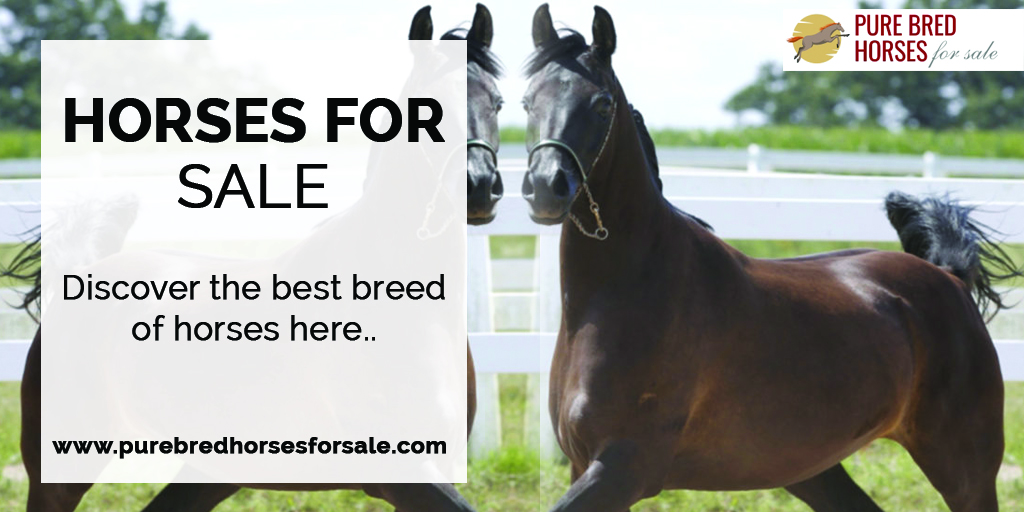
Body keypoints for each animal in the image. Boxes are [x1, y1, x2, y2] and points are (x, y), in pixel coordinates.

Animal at [6, 5, 503, 511]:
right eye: (426, 108)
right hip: (62, 466)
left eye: (498, 102)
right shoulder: (401, 472)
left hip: (209, 471)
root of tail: (81, 276)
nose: (479, 186)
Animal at [522, 4, 1020, 511]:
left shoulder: (623, 467)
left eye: (602, 103)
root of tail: (948, 277)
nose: (546, 187)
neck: (627, 288)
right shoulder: (585, 465)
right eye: (527, 102)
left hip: (963, 465)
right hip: (814, 469)